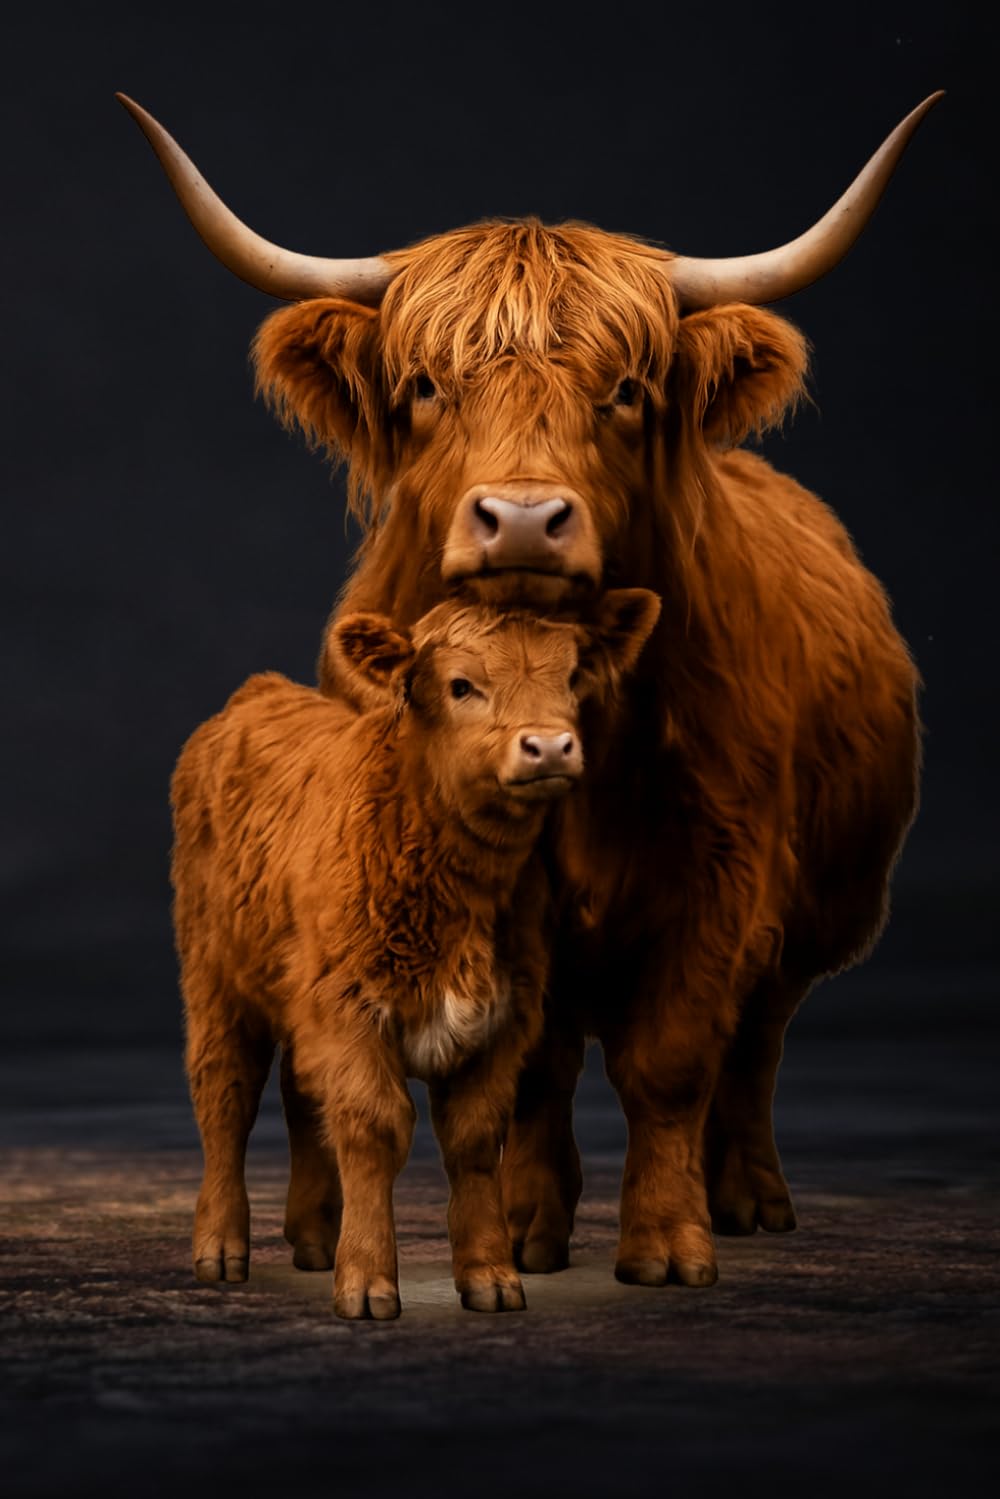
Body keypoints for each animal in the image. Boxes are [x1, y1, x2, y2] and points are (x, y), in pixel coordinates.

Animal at [171, 592, 661, 1316]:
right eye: (461, 686)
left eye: (572, 678)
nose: (548, 745)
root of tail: (261, 691)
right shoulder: (350, 1010)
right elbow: (374, 1129)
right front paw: (367, 1279)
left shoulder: (504, 1018)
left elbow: (474, 1139)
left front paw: (489, 1274)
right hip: (216, 978)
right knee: (225, 1097)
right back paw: (221, 1246)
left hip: (297, 992)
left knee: (299, 1093)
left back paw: (315, 1239)